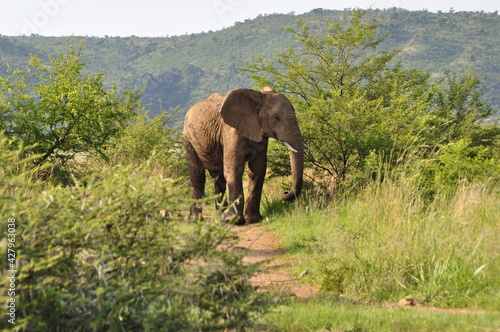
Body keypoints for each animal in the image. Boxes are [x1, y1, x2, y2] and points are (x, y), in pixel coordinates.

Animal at [182, 87, 302, 224]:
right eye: (275, 117)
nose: (284, 193)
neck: (257, 97)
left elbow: (257, 170)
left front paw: (254, 219)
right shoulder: (231, 132)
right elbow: (234, 170)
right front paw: (234, 221)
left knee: (218, 178)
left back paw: (219, 217)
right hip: (188, 138)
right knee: (197, 176)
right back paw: (196, 219)